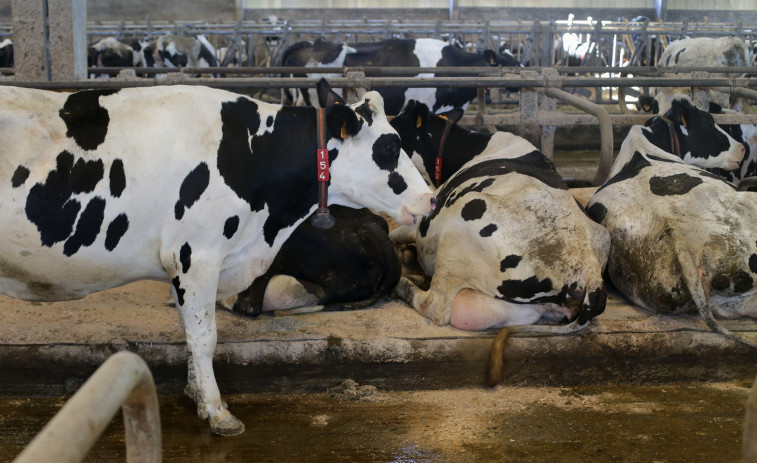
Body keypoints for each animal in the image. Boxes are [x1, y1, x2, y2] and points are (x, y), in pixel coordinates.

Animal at [0, 78, 434, 436]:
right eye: (390, 147)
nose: (430, 199)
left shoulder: (187, 264)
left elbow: (190, 330)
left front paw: (196, 394)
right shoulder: (197, 254)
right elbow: (204, 336)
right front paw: (217, 411)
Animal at [386, 102, 612, 388]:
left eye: (395, 129)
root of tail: (588, 270)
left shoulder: (424, 220)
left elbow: (397, 232)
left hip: (463, 220)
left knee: (434, 306)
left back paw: (402, 284)